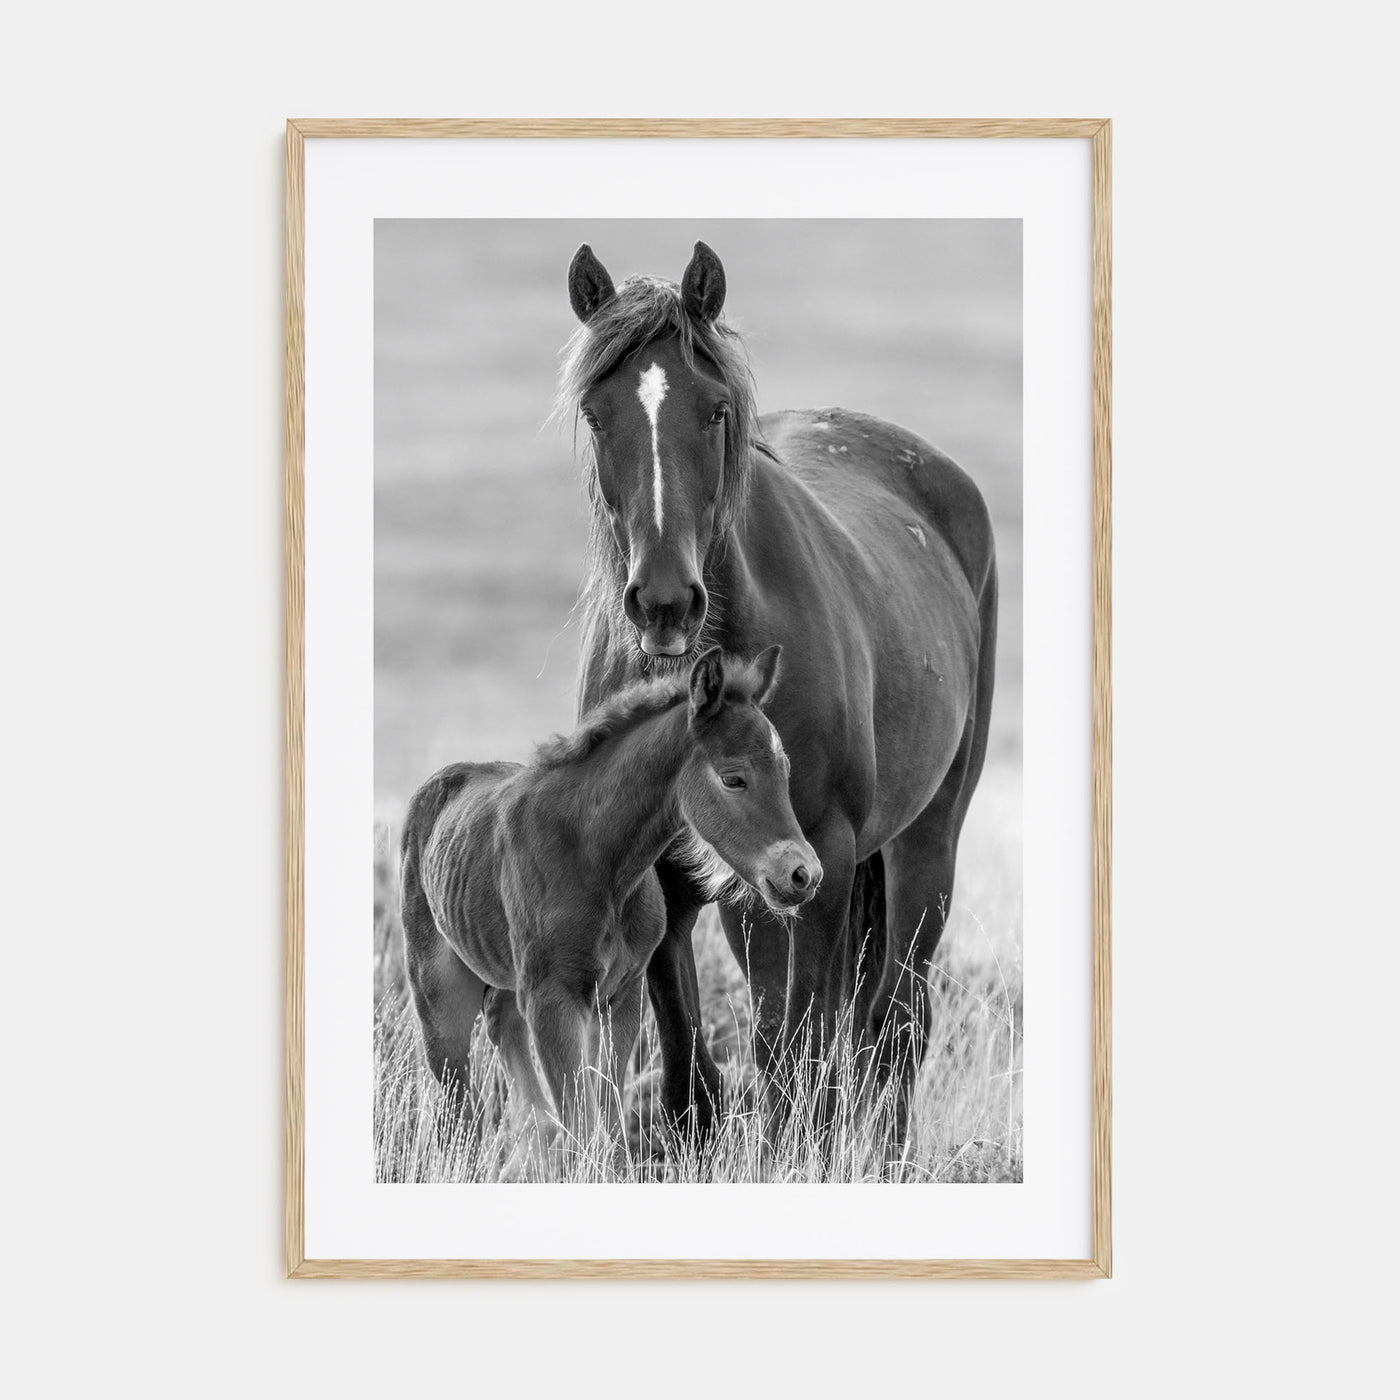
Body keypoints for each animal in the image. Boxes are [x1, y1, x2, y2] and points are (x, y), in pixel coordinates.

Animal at [398, 645, 820, 1150]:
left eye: (785, 770)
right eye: (733, 778)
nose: (803, 874)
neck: (599, 862)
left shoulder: (621, 996)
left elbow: (609, 1123)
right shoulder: (553, 999)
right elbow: (583, 1126)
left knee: (508, 1043)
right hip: (437, 992)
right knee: (457, 1097)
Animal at [560, 241, 998, 1136]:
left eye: (715, 410)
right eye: (596, 414)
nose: (665, 602)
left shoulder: (811, 861)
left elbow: (797, 1057)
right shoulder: (665, 881)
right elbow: (691, 1066)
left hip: (923, 845)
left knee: (894, 1024)